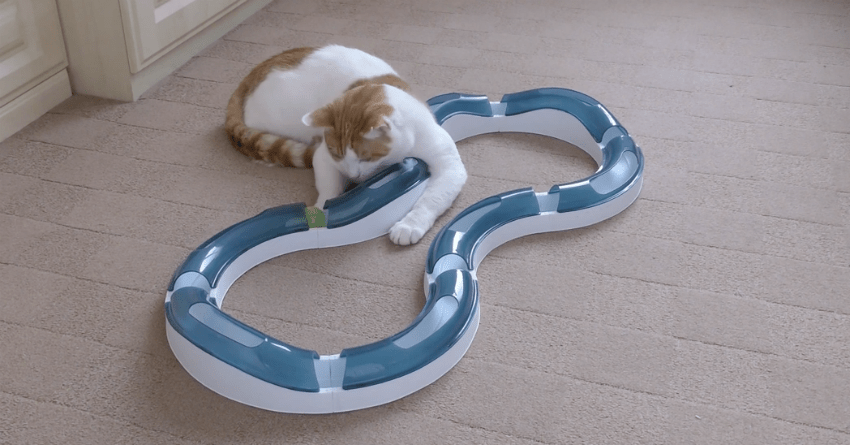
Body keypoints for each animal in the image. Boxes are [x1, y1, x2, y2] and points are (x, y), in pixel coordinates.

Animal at [225, 44, 464, 245]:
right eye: (337, 154)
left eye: (365, 157)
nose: (352, 175)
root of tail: (252, 74)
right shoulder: (323, 157)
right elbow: (328, 188)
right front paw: (322, 212)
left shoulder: (449, 165)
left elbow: (431, 200)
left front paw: (409, 225)